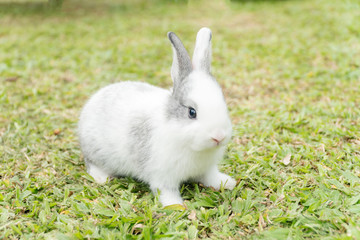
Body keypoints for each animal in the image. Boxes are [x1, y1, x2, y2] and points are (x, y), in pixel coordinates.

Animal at [78, 26, 236, 206]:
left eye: (224, 103)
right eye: (192, 112)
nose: (219, 137)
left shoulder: (207, 169)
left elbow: (210, 177)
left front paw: (227, 183)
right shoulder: (163, 177)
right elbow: (167, 191)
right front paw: (177, 206)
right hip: (95, 151)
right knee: (92, 163)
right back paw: (101, 178)